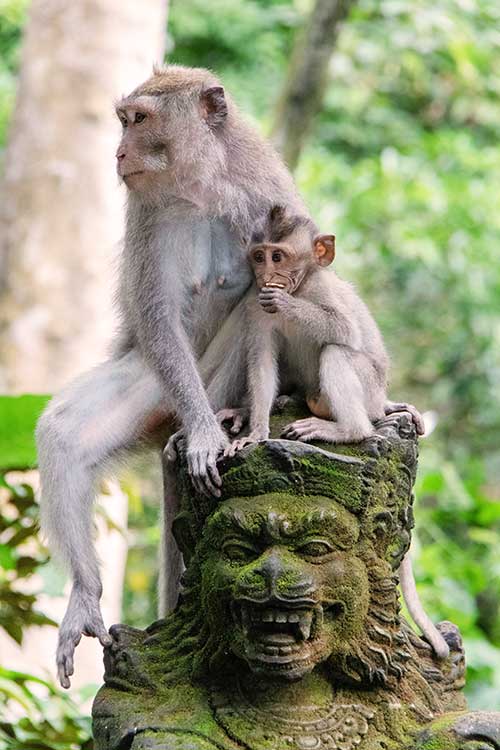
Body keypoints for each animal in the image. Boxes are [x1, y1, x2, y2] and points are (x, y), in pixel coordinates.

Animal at [36, 66, 306, 688]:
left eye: (139, 120)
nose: (118, 152)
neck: (199, 185)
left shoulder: (267, 191)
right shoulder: (145, 211)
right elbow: (157, 316)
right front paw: (206, 435)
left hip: (209, 378)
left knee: (252, 312)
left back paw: (225, 420)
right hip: (159, 386)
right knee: (65, 435)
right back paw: (86, 593)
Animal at [222, 206, 449, 660]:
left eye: (279, 256)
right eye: (259, 256)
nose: (266, 275)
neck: (303, 283)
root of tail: (378, 405)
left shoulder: (323, 290)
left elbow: (344, 330)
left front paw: (287, 303)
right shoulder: (254, 304)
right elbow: (261, 359)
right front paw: (255, 430)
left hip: (368, 389)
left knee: (337, 351)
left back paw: (345, 429)